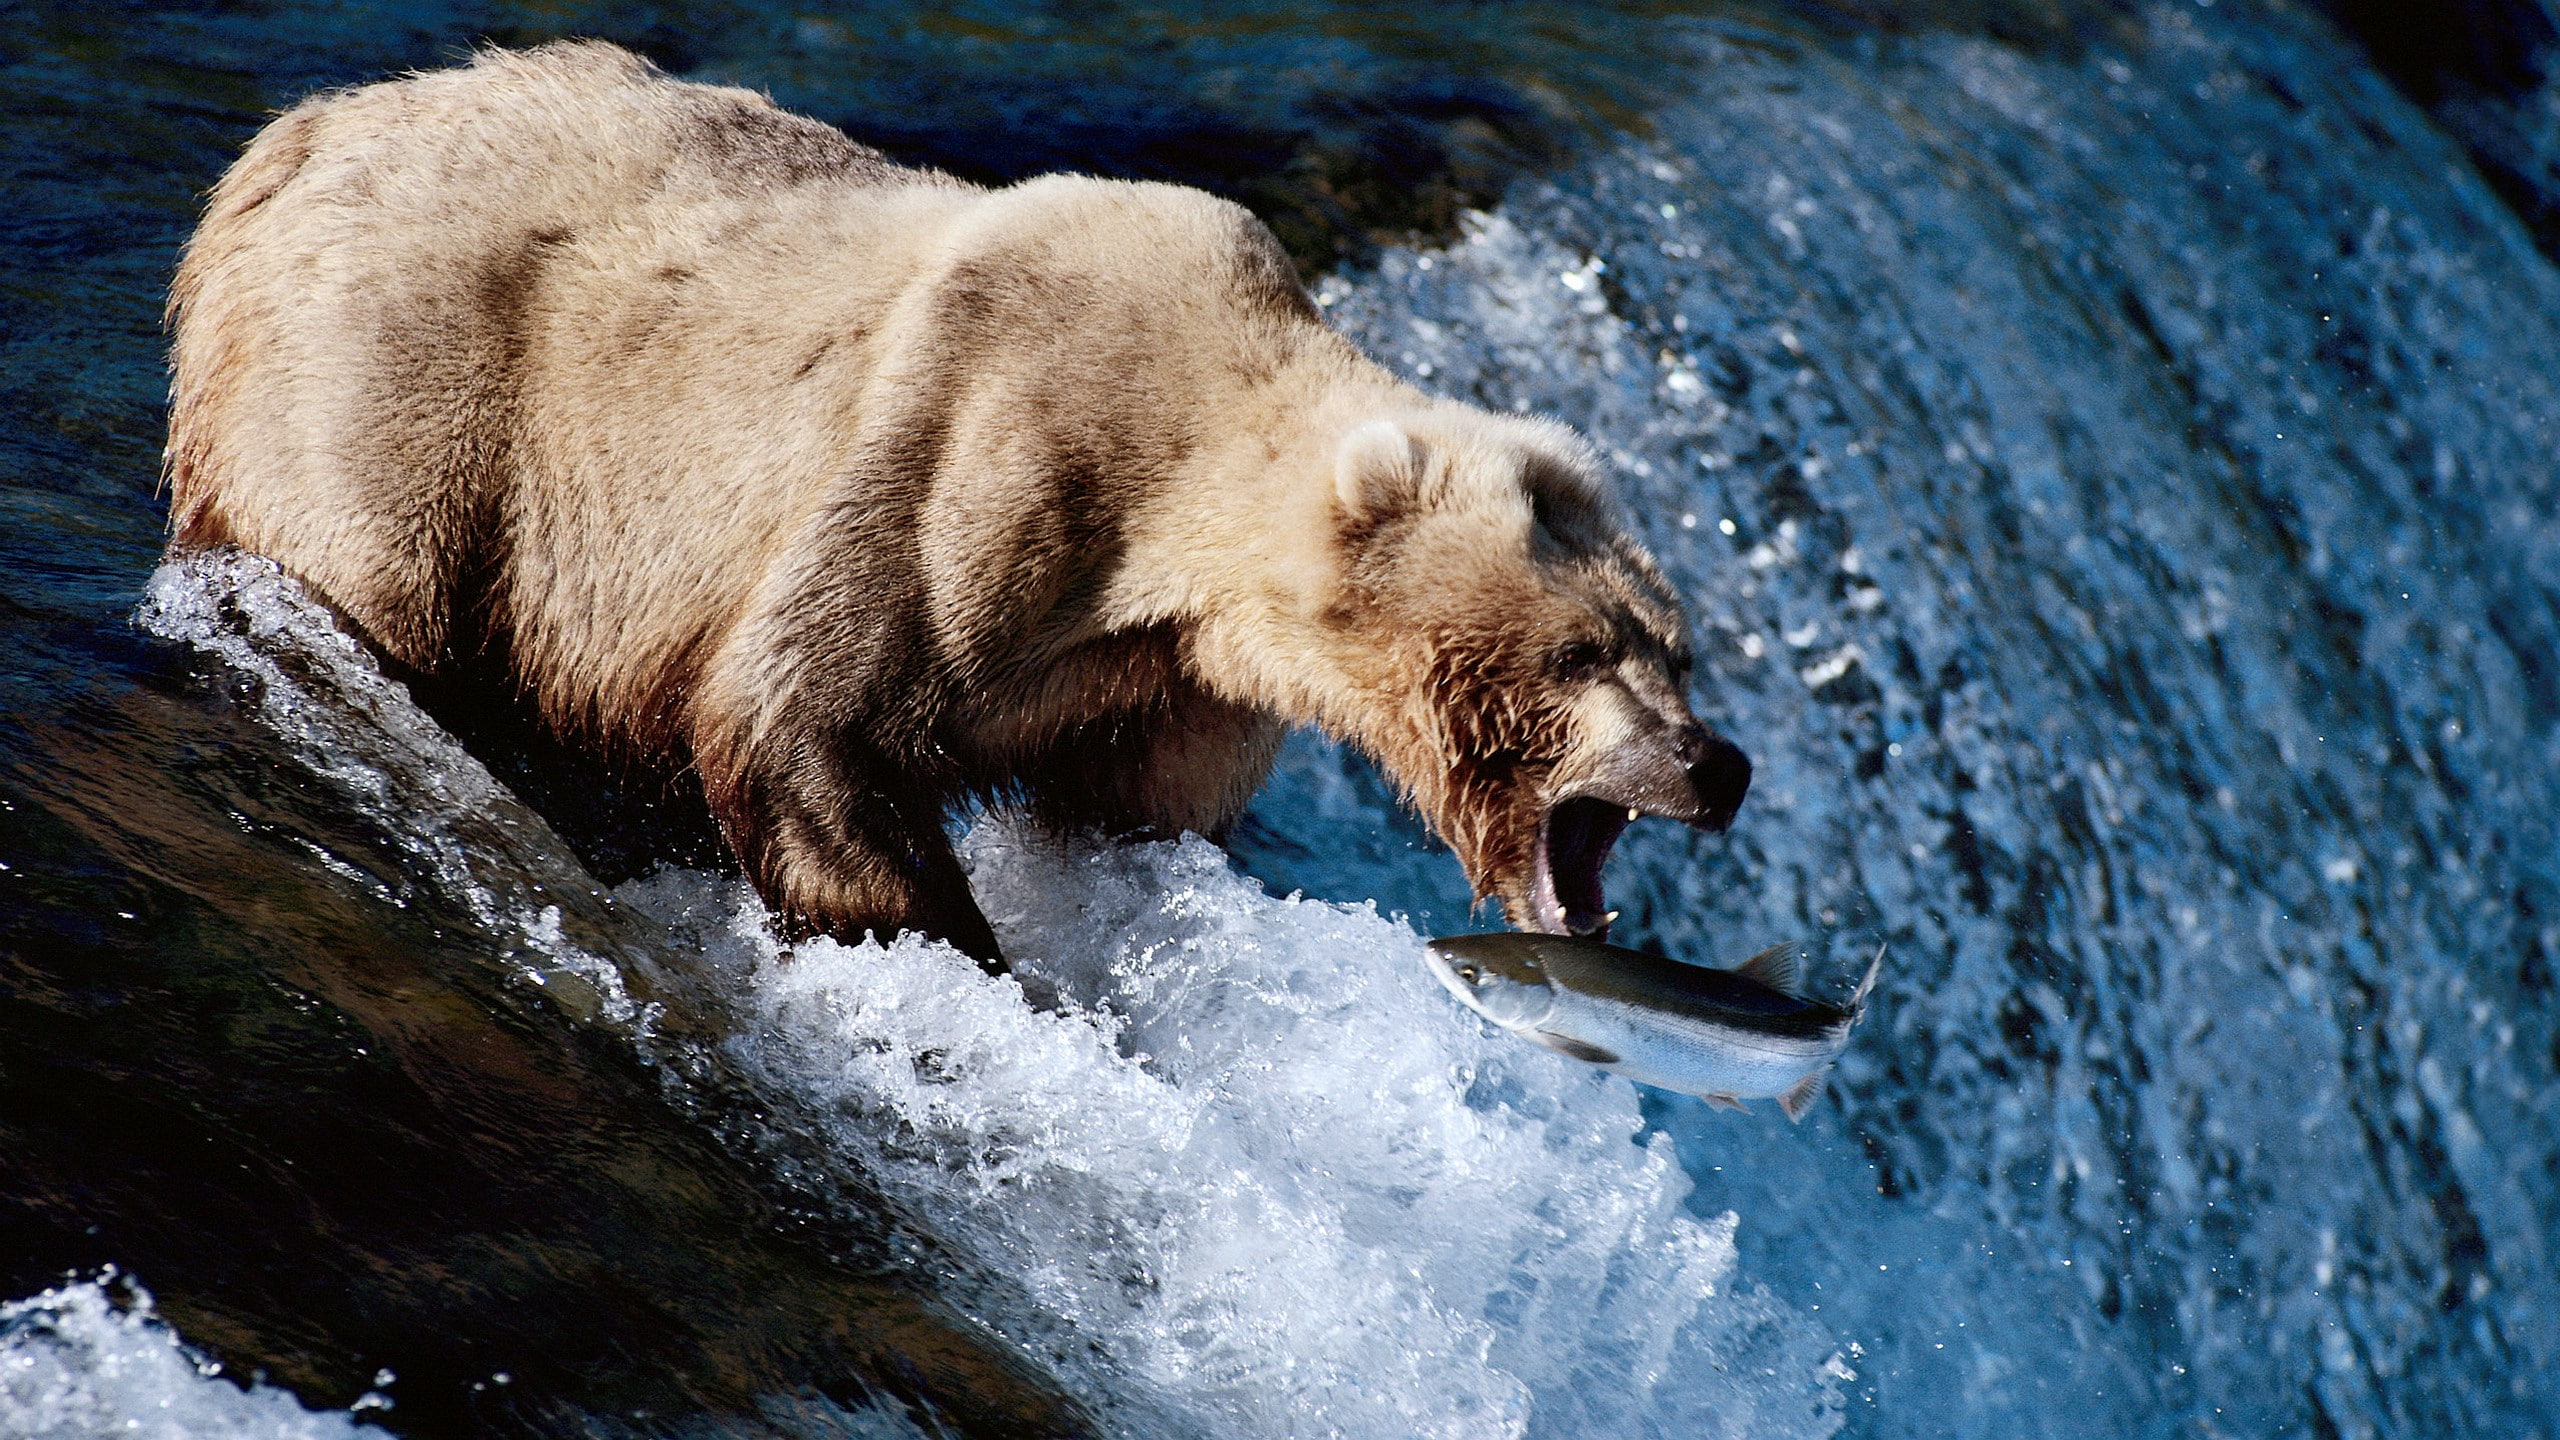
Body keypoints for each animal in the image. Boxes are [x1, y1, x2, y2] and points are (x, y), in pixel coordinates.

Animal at [163, 41, 1751, 967]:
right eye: (1583, 651)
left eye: (1676, 646)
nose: (1716, 766)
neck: (1175, 538)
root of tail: (293, 134)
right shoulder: (987, 458)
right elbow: (801, 712)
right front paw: (969, 952)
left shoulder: (1164, 687)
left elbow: (1130, 820)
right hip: (409, 372)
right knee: (381, 579)